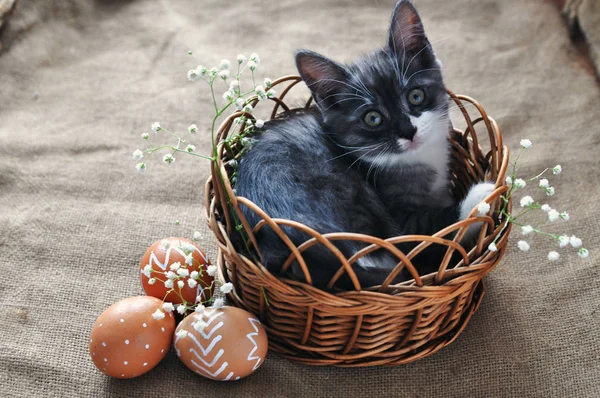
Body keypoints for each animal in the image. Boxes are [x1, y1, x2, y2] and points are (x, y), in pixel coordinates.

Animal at [234, 0, 492, 290]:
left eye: (416, 96)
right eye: (373, 118)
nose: (408, 131)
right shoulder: (400, 220)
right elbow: (429, 232)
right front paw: (481, 196)